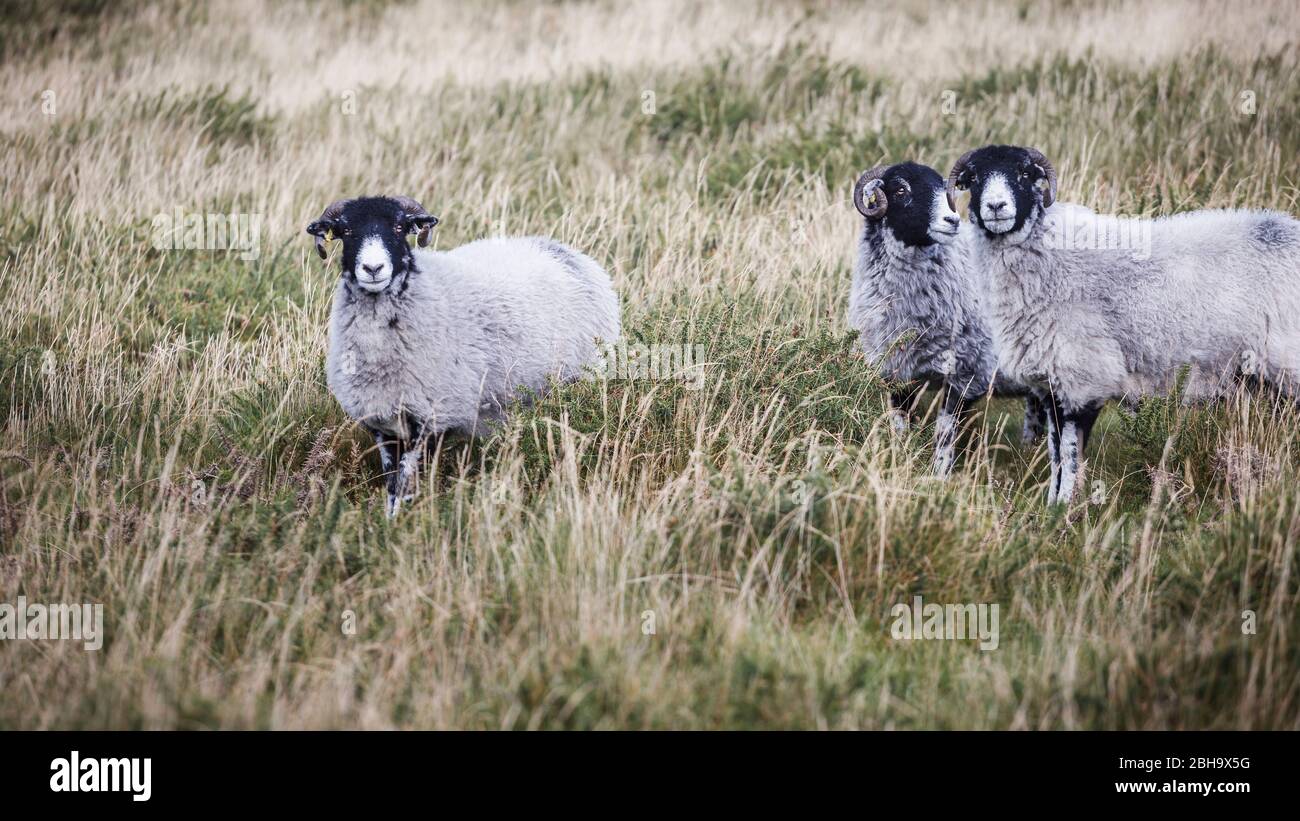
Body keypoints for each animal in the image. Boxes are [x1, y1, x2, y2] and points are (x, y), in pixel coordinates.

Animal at [309, 196, 624, 517]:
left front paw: (406, 521)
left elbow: (408, 481)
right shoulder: (381, 422)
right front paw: (389, 519)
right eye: (346, 231)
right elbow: (392, 483)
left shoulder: (432, 416)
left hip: (583, 378)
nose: (373, 268)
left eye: (399, 227)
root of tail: (565, 251)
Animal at [847, 160, 1050, 475]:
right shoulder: (895, 373)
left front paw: (939, 477)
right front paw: (900, 461)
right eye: (900, 190)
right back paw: (1030, 453)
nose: (952, 220)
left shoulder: (965, 375)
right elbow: (900, 426)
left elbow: (944, 435)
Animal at [946, 146, 1300, 504]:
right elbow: (1055, 450)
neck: (1049, 257)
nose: (996, 206)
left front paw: (1064, 507)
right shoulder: (1050, 386)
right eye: (974, 178)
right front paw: (1050, 504)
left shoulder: (1084, 378)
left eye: (1024, 174)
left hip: (1286, 361)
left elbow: (1070, 453)